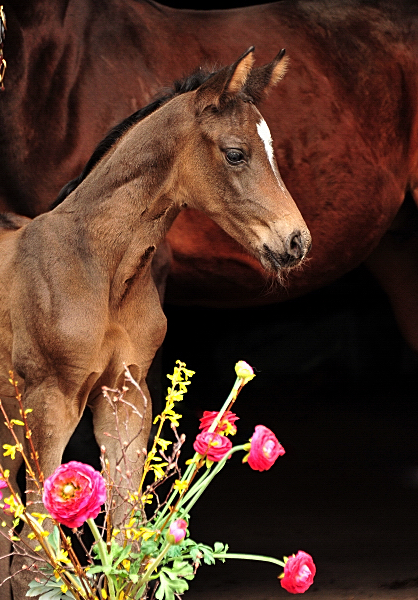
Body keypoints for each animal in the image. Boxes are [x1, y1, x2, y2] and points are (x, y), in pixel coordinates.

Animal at [0, 50, 310, 600]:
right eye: (235, 154)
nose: (297, 241)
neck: (103, 270)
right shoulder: (49, 399)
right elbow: (38, 552)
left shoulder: (127, 393)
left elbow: (128, 528)